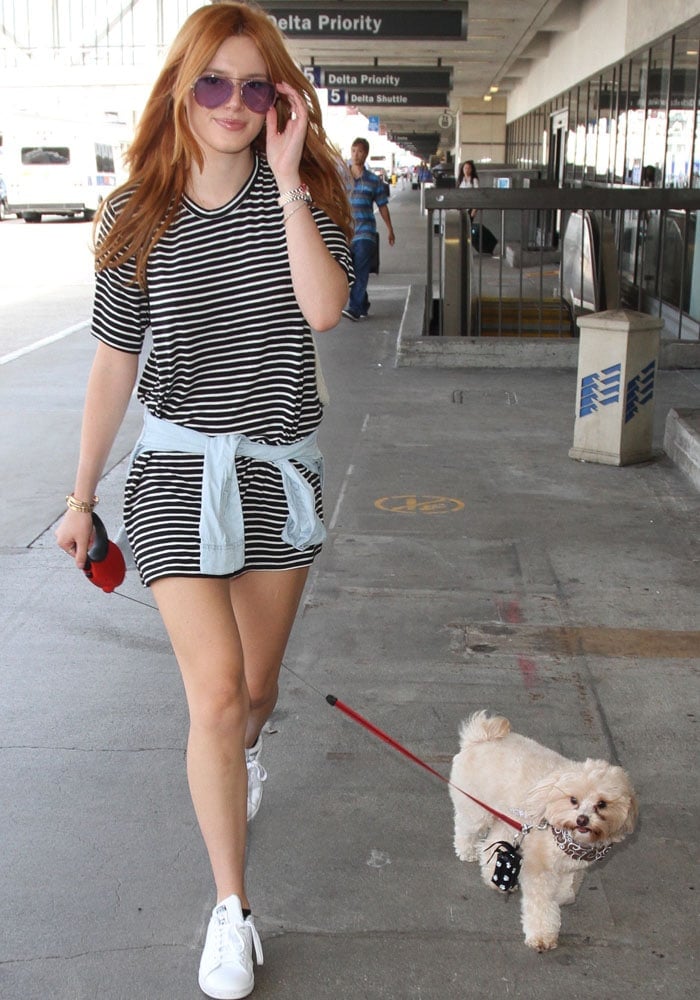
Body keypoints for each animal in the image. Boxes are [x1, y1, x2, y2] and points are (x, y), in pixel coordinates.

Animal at [448, 708, 640, 948]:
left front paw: (561, 898)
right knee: (465, 829)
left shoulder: (573, 868)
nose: (582, 820)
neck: (565, 835)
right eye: (573, 800)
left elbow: (567, 891)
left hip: (508, 819)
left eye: (602, 804)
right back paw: (466, 851)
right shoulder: (538, 869)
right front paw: (542, 935)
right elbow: (541, 904)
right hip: (476, 811)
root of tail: (480, 736)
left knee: (493, 841)